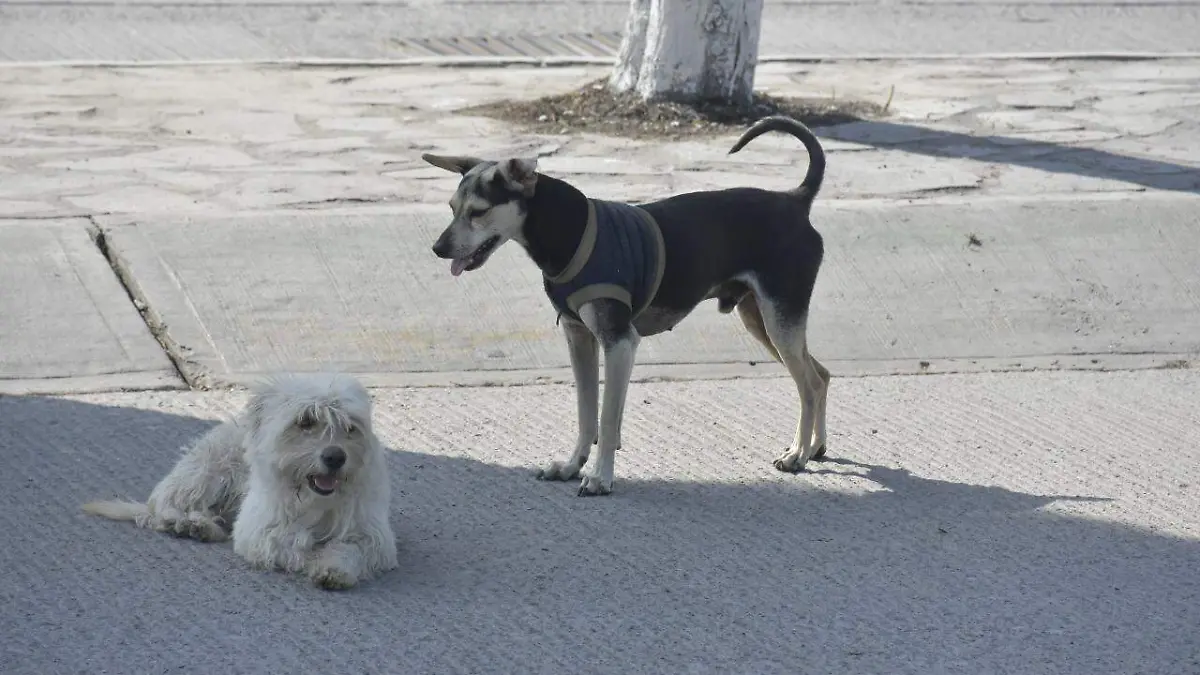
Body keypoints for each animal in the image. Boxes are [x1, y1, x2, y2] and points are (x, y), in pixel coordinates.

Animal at [82, 369, 398, 586]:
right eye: (306, 421)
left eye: (350, 427)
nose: (335, 457)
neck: (313, 502)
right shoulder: (259, 530)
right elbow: (289, 543)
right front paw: (310, 553)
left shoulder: (372, 536)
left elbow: (350, 548)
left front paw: (333, 567)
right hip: (206, 472)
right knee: (165, 507)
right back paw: (188, 523)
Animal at [427, 115, 830, 494]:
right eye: (451, 207)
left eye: (478, 211)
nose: (438, 248)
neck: (568, 232)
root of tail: (796, 200)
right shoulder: (579, 338)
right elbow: (586, 413)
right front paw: (572, 466)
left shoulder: (619, 342)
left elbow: (606, 420)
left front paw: (600, 477)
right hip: (761, 319)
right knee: (821, 375)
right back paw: (815, 447)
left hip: (779, 320)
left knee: (808, 383)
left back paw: (797, 454)